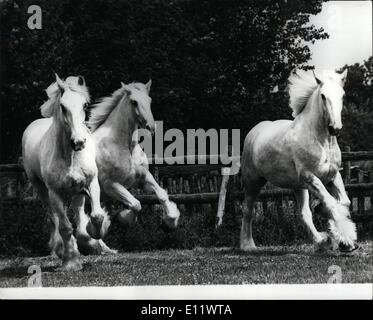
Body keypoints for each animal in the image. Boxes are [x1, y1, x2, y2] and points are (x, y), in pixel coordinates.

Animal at [22, 74, 109, 270]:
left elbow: (97, 215)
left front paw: (95, 235)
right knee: (54, 218)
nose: (78, 142)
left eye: (85, 105)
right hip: (41, 189)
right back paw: (61, 249)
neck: (70, 156)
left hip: (77, 190)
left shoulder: (91, 183)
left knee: (77, 212)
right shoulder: (54, 192)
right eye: (63, 106)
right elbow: (65, 227)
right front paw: (71, 262)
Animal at [69, 80, 181, 255]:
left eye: (149, 100)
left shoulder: (144, 178)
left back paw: (105, 248)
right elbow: (135, 204)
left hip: (81, 194)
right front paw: (123, 218)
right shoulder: (111, 185)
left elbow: (161, 194)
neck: (123, 145)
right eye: (134, 102)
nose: (151, 127)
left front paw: (170, 222)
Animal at [218, 70, 358, 252]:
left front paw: (341, 238)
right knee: (247, 210)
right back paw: (248, 245)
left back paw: (321, 241)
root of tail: (254, 131)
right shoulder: (311, 177)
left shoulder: (333, 176)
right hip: (253, 181)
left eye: (342, 94)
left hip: (298, 186)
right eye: (323, 96)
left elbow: (345, 202)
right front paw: (346, 241)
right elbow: (331, 203)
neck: (321, 142)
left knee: (304, 213)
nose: (335, 128)